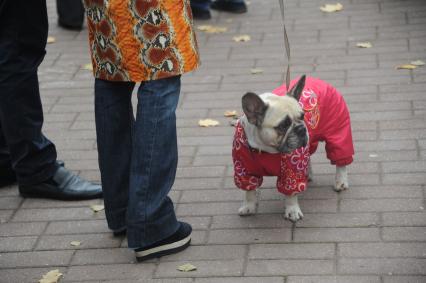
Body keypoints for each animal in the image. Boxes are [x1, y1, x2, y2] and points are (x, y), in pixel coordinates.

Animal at [231, 75, 354, 222]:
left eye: (302, 116)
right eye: (283, 125)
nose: (301, 128)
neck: (265, 149)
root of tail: (318, 80)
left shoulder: (291, 170)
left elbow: (291, 193)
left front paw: (292, 210)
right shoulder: (243, 169)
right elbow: (249, 190)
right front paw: (248, 206)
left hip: (337, 129)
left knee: (340, 158)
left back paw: (341, 181)